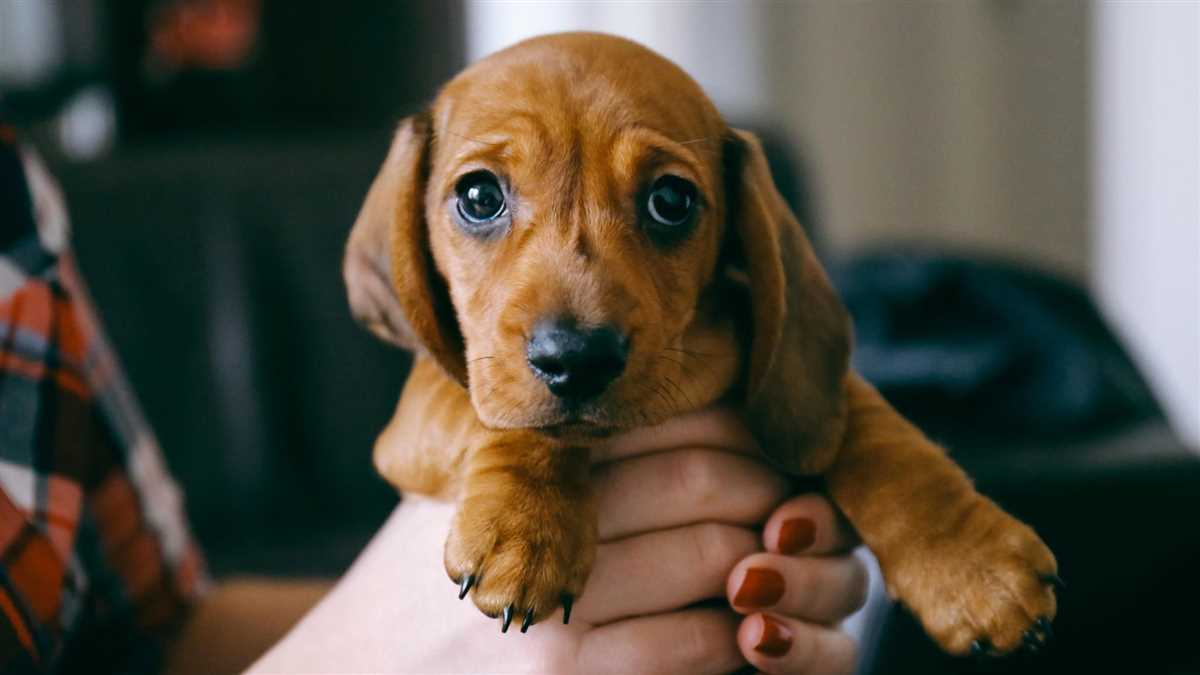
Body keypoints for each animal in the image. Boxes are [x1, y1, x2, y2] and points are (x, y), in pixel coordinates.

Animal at [343, 31, 1056, 653]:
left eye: (671, 201)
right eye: (478, 195)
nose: (576, 360)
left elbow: (873, 432)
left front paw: (970, 566)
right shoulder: (416, 420)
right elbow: (496, 412)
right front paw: (527, 528)